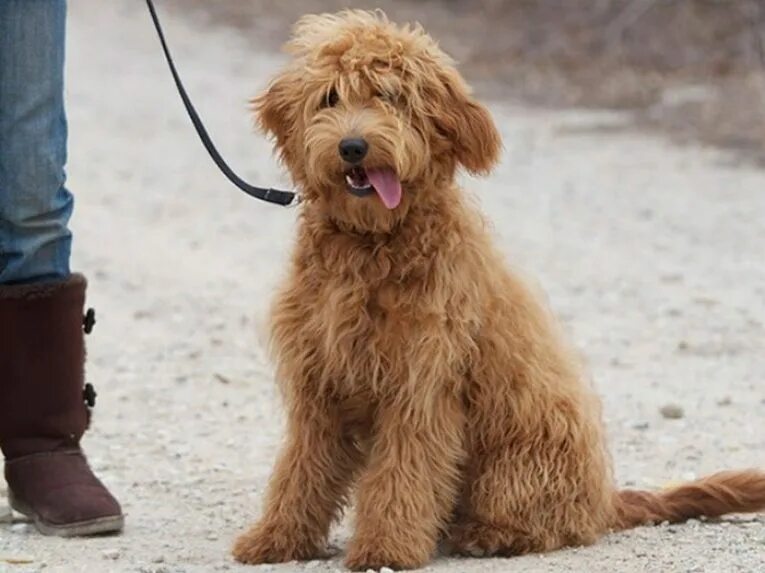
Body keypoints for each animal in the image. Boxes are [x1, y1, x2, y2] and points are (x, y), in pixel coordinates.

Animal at [231, 10, 764, 572]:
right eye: (330, 98)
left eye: (392, 97)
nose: (352, 146)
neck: (372, 246)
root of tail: (604, 501)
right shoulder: (319, 386)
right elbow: (300, 469)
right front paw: (277, 537)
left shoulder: (420, 386)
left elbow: (403, 473)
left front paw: (385, 548)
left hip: (520, 457)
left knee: (544, 522)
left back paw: (486, 533)